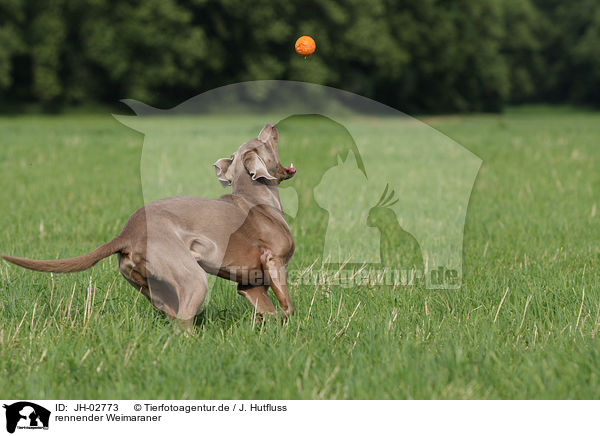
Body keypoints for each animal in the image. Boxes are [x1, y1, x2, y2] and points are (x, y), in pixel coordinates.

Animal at [1, 122, 298, 328]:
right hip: (192, 278)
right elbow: (287, 307)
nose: (270, 125)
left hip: (156, 288)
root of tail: (126, 234)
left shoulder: (250, 286)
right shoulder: (274, 261)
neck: (255, 197)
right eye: (262, 141)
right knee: (183, 320)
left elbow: (268, 312)